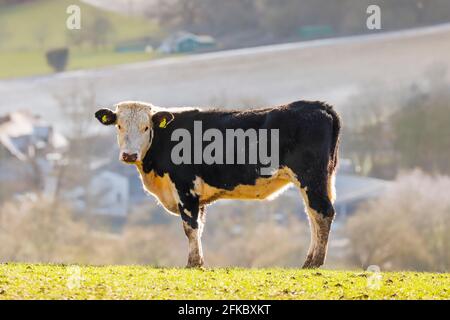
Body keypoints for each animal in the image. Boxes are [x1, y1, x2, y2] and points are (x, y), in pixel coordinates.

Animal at [96, 100, 342, 268]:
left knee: (322, 213)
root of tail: (318, 106)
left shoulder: (185, 188)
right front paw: (199, 261)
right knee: (313, 215)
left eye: (146, 127)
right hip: (319, 179)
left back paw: (315, 262)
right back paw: (309, 260)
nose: (129, 154)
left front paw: (193, 263)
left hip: (310, 177)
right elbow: (200, 227)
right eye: (119, 126)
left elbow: (190, 227)